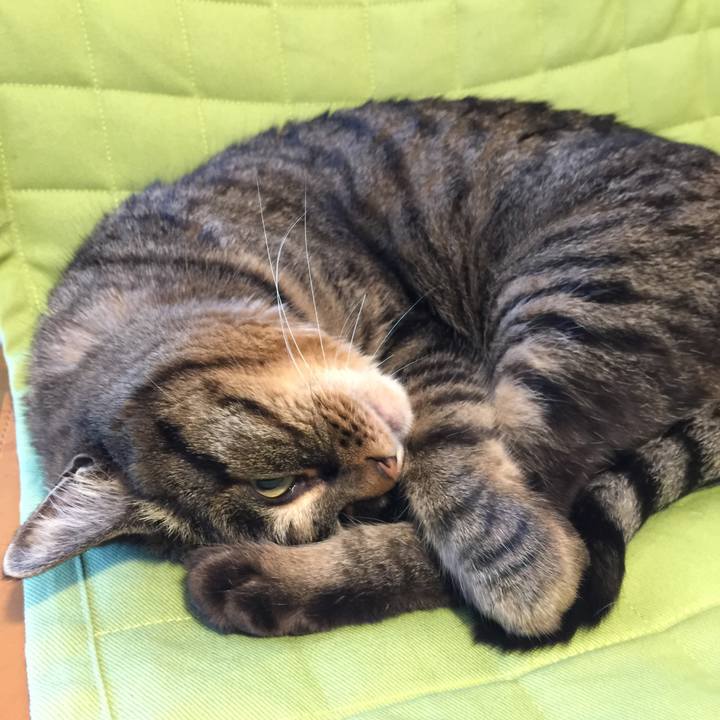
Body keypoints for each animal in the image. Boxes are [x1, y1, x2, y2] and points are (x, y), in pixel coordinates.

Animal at [4, 98, 720, 647]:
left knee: (551, 504)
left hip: (572, 300)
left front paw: (519, 570)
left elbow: (453, 464)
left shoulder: (415, 335)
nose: (385, 472)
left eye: (270, 486)